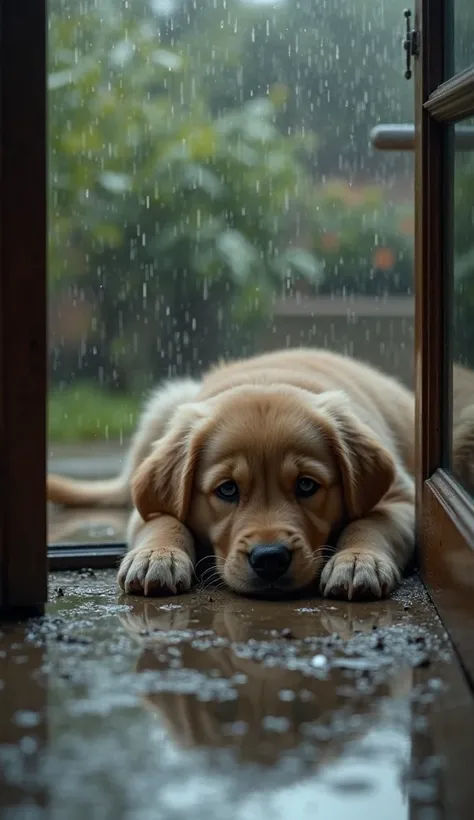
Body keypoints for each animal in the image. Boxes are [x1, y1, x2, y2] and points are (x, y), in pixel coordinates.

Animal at [47, 350, 414, 600]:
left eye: (307, 485)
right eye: (227, 490)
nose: (270, 560)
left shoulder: (403, 498)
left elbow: (371, 521)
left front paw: (358, 561)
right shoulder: (148, 508)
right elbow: (165, 519)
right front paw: (156, 557)